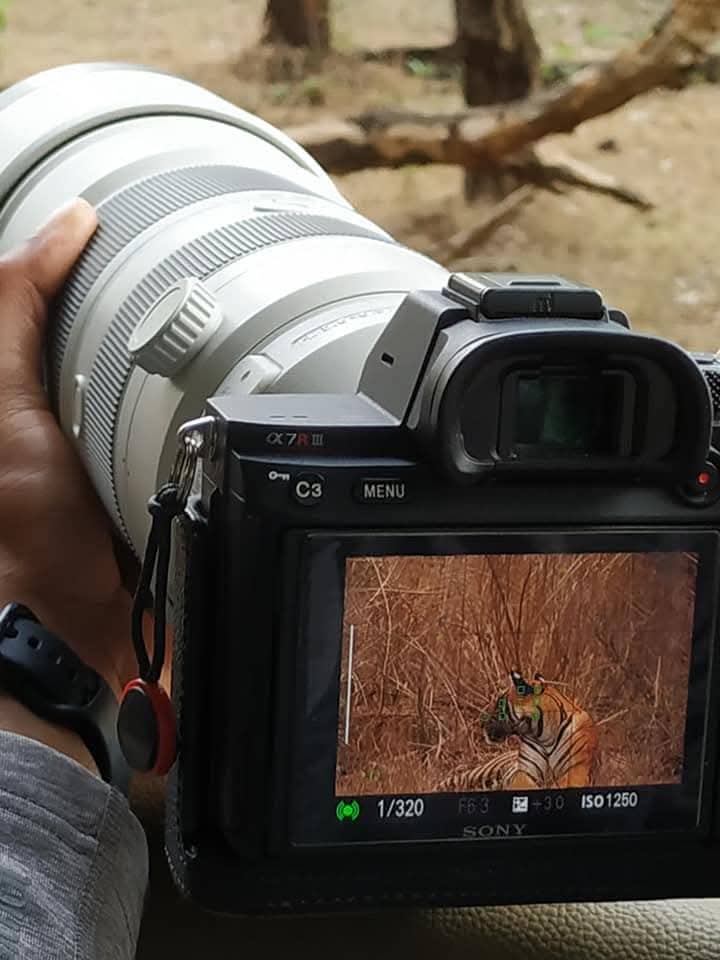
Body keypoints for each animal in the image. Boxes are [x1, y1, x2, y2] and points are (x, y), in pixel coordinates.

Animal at [439, 670, 597, 792]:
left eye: (499, 704)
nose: (481, 723)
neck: (545, 735)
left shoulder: (577, 770)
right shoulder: (524, 772)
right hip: (481, 772)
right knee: (452, 780)